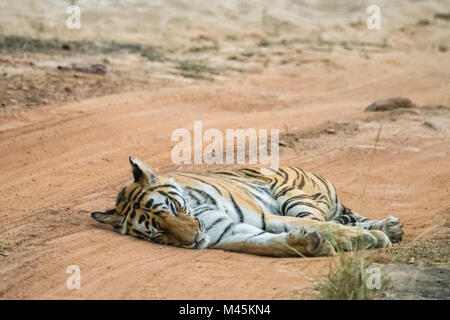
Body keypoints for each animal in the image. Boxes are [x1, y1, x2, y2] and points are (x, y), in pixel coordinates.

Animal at [91, 158, 404, 258]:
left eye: (173, 207)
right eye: (157, 233)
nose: (193, 240)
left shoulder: (265, 215)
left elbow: (319, 225)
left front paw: (368, 239)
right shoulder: (229, 232)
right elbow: (266, 243)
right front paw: (310, 245)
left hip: (292, 194)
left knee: (329, 217)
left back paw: (386, 229)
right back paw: (391, 228)